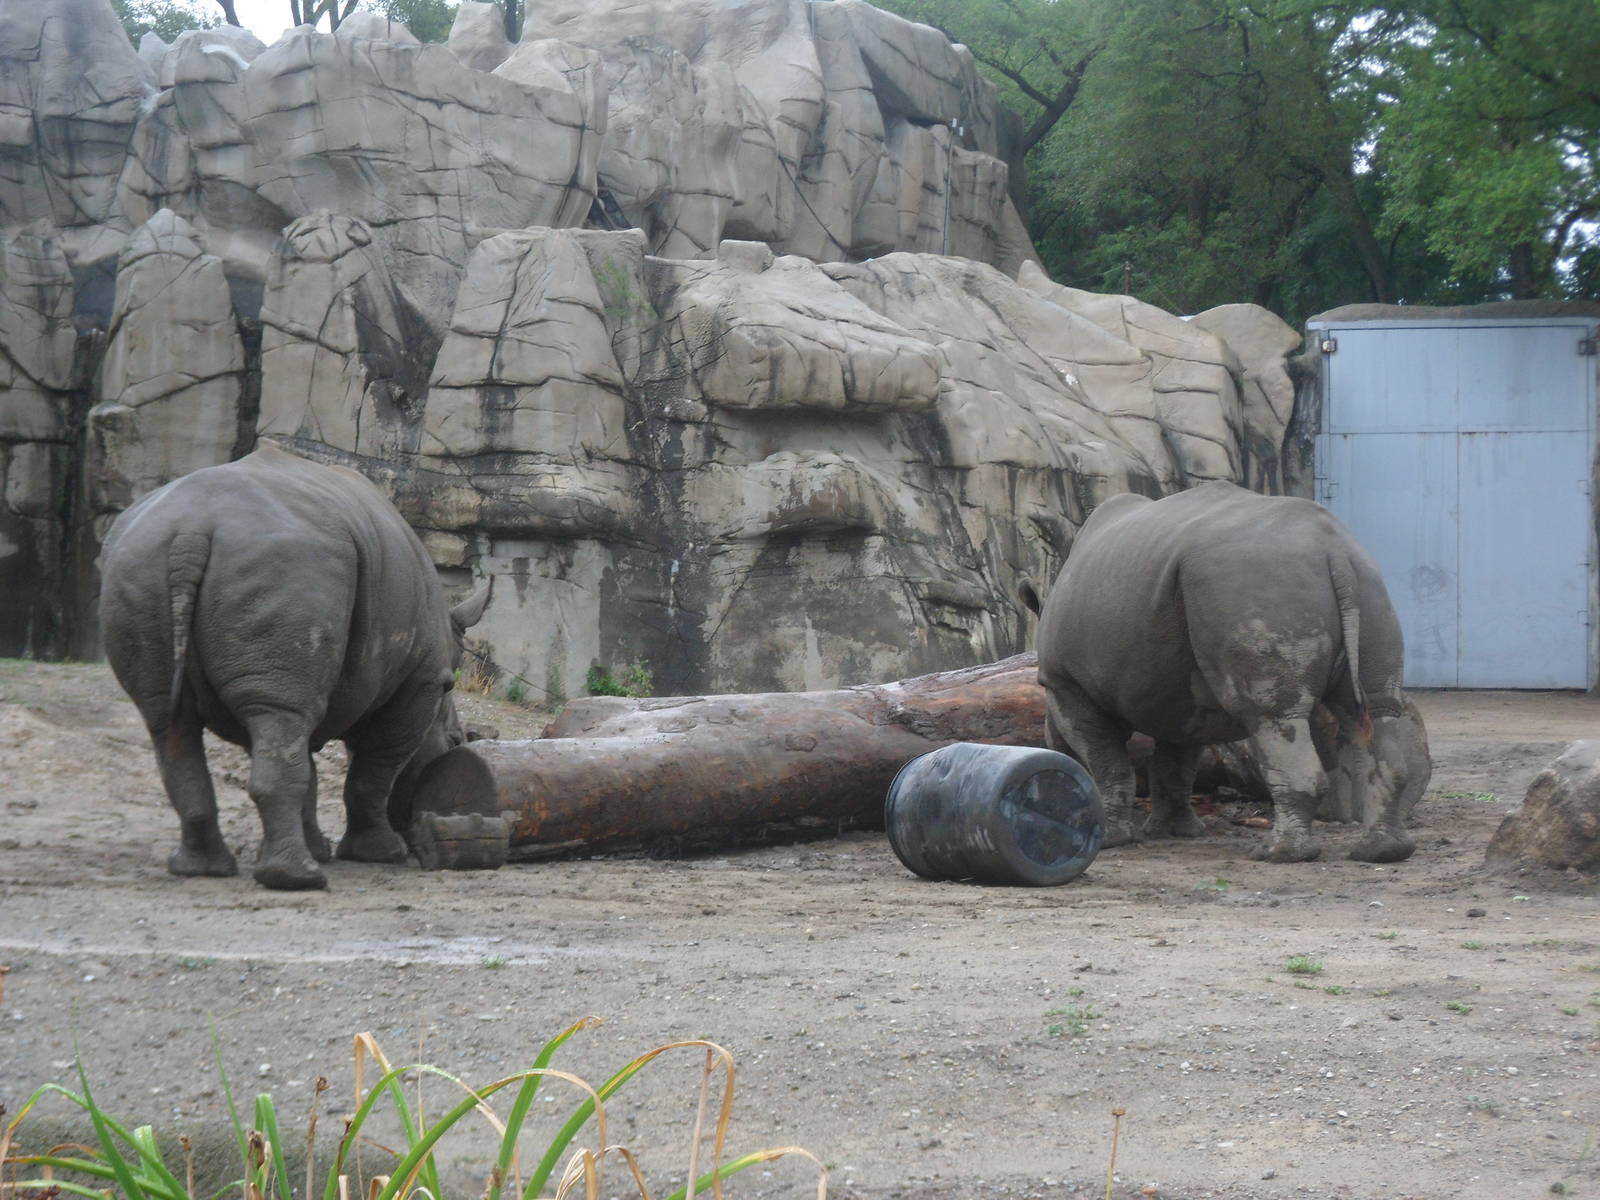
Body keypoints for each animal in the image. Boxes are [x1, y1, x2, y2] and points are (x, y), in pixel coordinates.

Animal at [99, 443, 489, 890]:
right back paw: (297, 879)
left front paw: (321, 849)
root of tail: (192, 529)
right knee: (257, 719)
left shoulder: (286, 673)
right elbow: (375, 767)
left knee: (172, 719)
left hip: (144, 565)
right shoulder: (421, 681)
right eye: (455, 742)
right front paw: (381, 854)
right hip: (287, 564)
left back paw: (203, 869)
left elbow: (304, 761)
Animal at [1020, 481, 1425, 863]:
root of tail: (1334, 549)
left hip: (1255, 583)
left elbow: (1107, 761)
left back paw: (1277, 854)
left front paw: (1111, 839)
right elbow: (1174, 764)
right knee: (1374, 710)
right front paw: (1174, 833)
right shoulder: (1179, 698)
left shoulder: (1067, 686)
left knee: (1273, 714)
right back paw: (1382, 852)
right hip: (1365, 585)